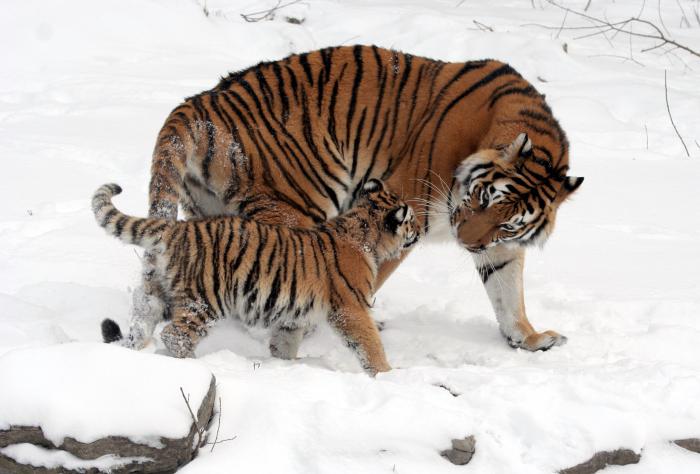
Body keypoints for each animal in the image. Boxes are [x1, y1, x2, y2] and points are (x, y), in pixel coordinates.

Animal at [115, 44, 584, 358]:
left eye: (508, 222)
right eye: (484, 196)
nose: (466, 243)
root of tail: (198, 103)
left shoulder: (499, 246)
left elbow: (508, 290)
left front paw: (529, 339)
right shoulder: (403, 207)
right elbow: (365, 277)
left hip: (209, 213)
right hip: (297, 204)